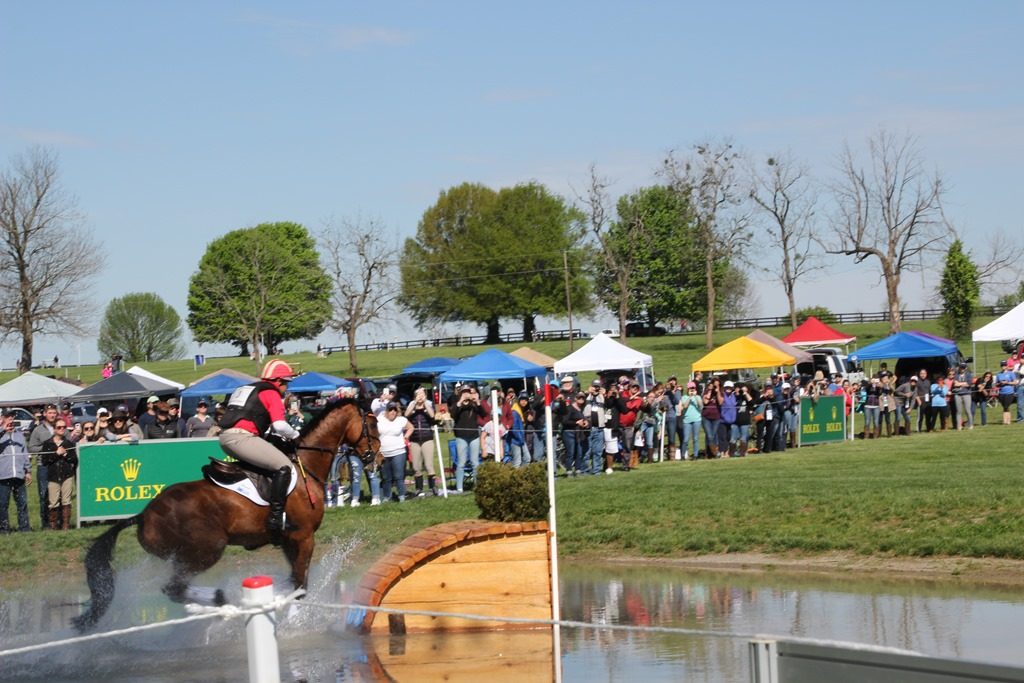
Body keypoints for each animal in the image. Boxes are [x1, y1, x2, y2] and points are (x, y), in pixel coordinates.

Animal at [71, 397, 380, 634]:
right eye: (373, 424)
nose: (375, 457)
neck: (307, 466)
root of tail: (144, 514)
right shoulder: (303, 537)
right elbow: (300, 585)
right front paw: (296, 624)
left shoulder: (288, 540)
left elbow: (294, 581)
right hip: (206, 549)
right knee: (174, 588)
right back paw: (221, 601)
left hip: (185, 555)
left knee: (176, 589)